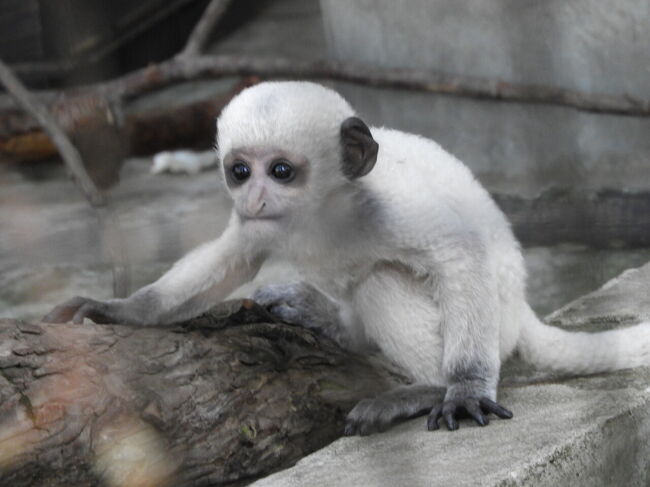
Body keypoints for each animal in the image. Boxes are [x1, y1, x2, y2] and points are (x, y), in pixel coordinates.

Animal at [45, 82, 650, 436]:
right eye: (240, 171)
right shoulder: (260, 226)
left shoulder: (388, 208)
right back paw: (327, 320)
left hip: (491, 327)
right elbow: (230, 259)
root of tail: (520, 310)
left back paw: (425, 387)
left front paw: (465, 388)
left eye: (280, 171)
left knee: (382, 280)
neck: (321, 215)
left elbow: (458, 256)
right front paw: (118, 309)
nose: (253, 198)